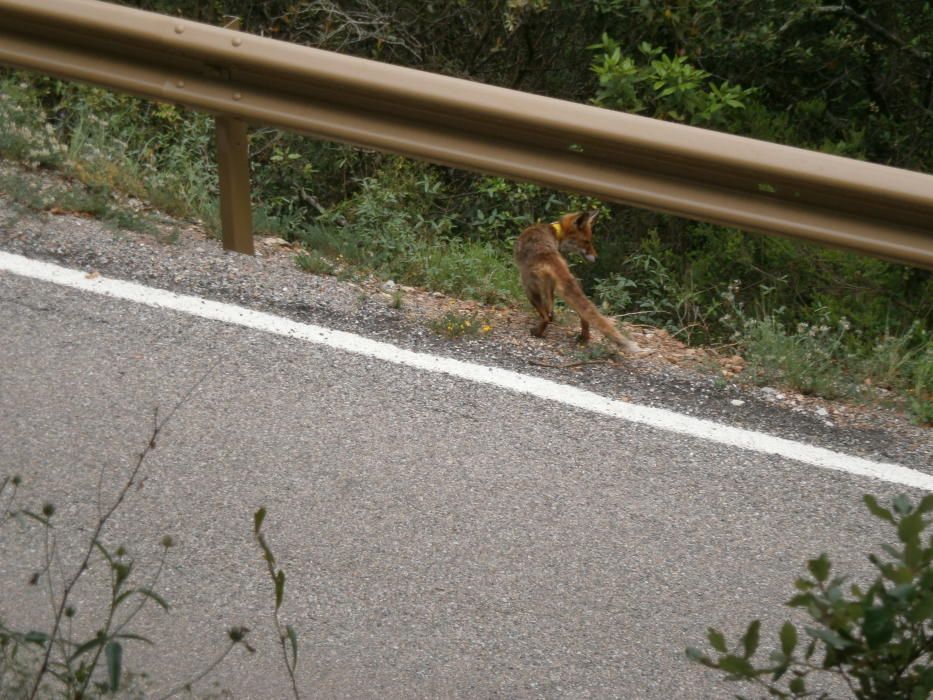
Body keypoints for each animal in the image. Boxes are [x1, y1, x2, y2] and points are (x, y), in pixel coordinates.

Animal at [512, 211, 644, 352]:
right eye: (586, 241)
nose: (596, 258)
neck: (555, 231)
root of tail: (548, 254)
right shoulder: (550, 285)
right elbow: (551, 310)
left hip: (529, 288)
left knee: (547, 317)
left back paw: (537, 333)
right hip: (571, 285)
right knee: (565, 314)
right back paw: (584, 337)